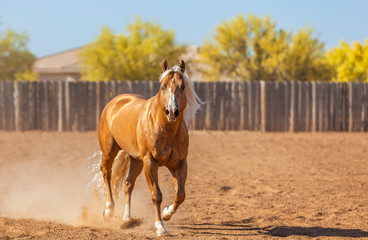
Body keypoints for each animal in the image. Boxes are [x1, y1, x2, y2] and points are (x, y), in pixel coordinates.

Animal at [98, 59, 201, 235]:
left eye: (182, 87)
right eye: (163, 86)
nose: (172, 112)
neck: (166, 129)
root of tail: (114, 102)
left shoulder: (180, 164)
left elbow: (180, 194)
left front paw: (166, 214)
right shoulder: (150, 162)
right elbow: (156, 194)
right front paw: (160, 226)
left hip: (135, 160)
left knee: (128, 184)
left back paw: (127, 218)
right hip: (109, 151)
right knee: (106, 173)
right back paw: (109, 211)